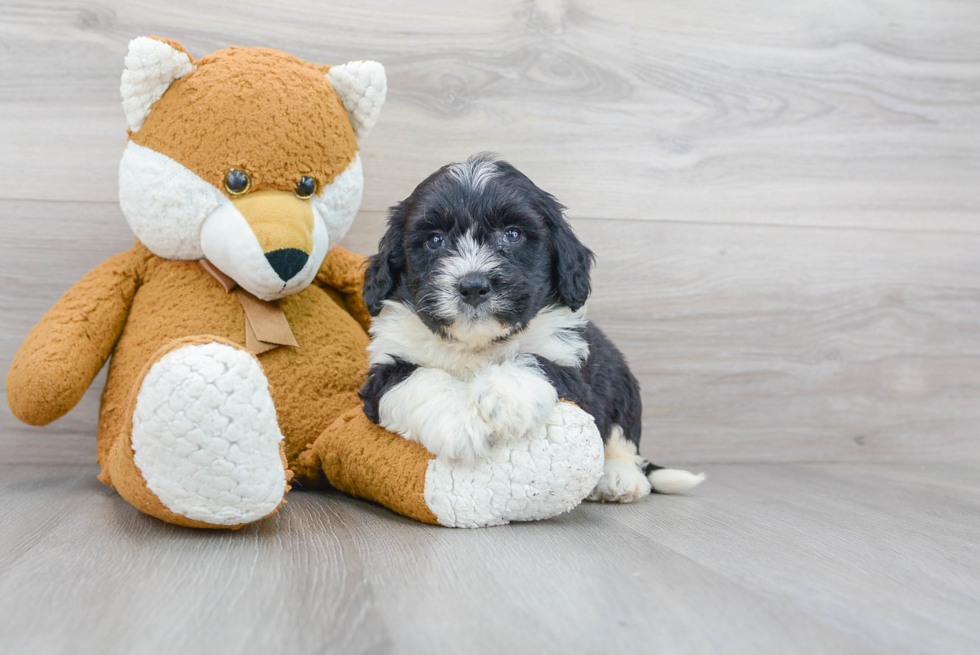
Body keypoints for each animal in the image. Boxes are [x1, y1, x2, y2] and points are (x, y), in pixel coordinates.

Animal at [360, 154, 704, 502]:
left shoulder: (571, 366)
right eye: (434, 240)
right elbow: (419, 378)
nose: (473, 286)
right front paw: (460, 420)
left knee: (624, 441)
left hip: (620, 379)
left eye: (512, 235)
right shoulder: (385, 369)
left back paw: (619, 477)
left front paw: (503, 398)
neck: (477, 344)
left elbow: (534, 361)